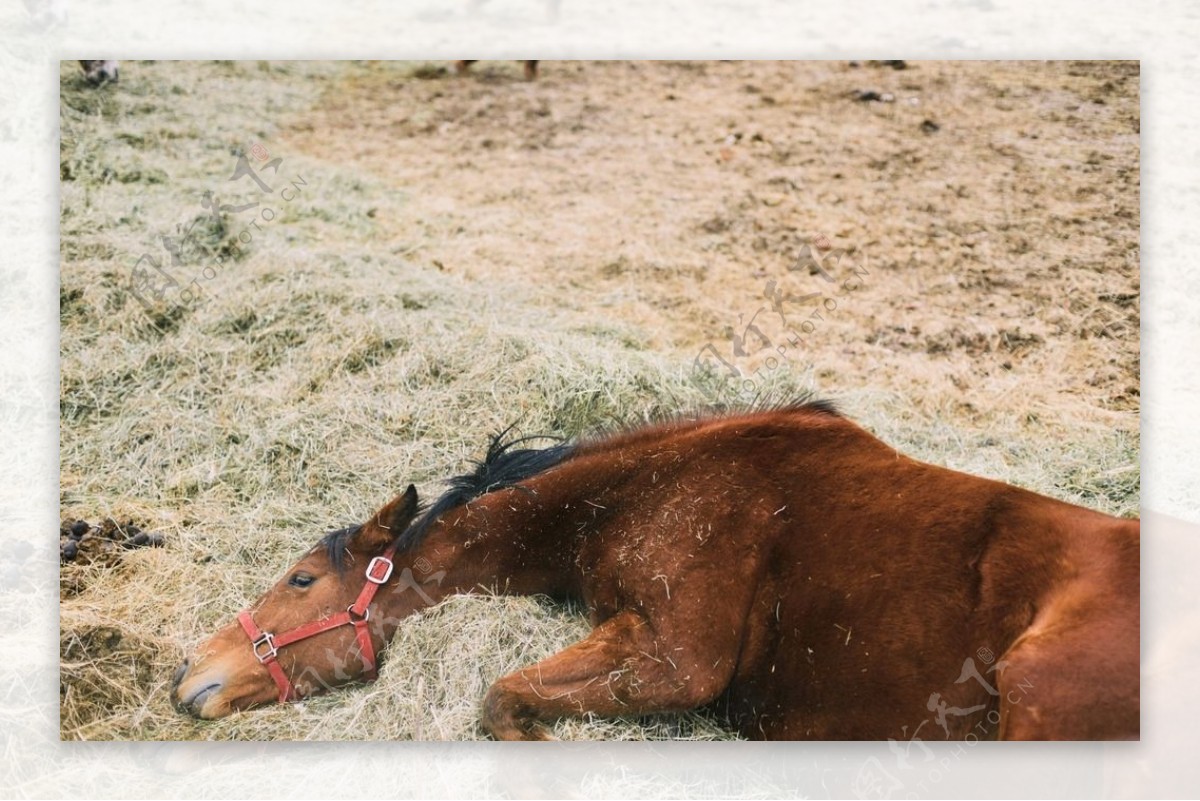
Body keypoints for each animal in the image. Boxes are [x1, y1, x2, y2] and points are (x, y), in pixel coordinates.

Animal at [169, 402, 1132, 743]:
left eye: (301, 580)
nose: (188, 674)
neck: (650, 490)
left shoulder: (681, 658)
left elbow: (501, 700)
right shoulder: (632, 631)